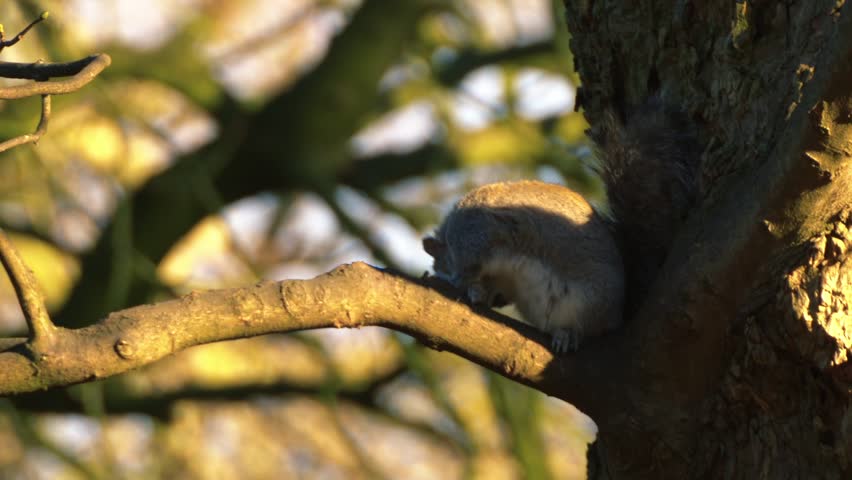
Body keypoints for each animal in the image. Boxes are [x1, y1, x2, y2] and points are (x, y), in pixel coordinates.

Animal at [422, 99, 699, 353]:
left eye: (442, 265)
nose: (498, 301)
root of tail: (617, 317)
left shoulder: (474, 233)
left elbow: (469, 268)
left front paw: (468, 288)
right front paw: (484, 294)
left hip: (588, 301)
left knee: (587, 328)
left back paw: (567, 334)